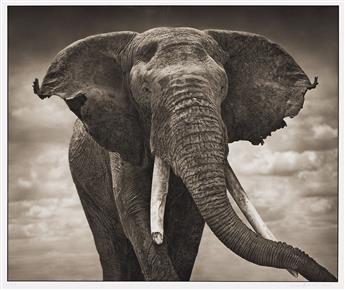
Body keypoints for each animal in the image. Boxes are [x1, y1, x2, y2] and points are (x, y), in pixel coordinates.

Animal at [33, 26, 336, 280]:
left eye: (223, 87)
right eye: (145, 91)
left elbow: (190, 226)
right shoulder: (124, 139)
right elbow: (136, 215)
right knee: (112, 249)